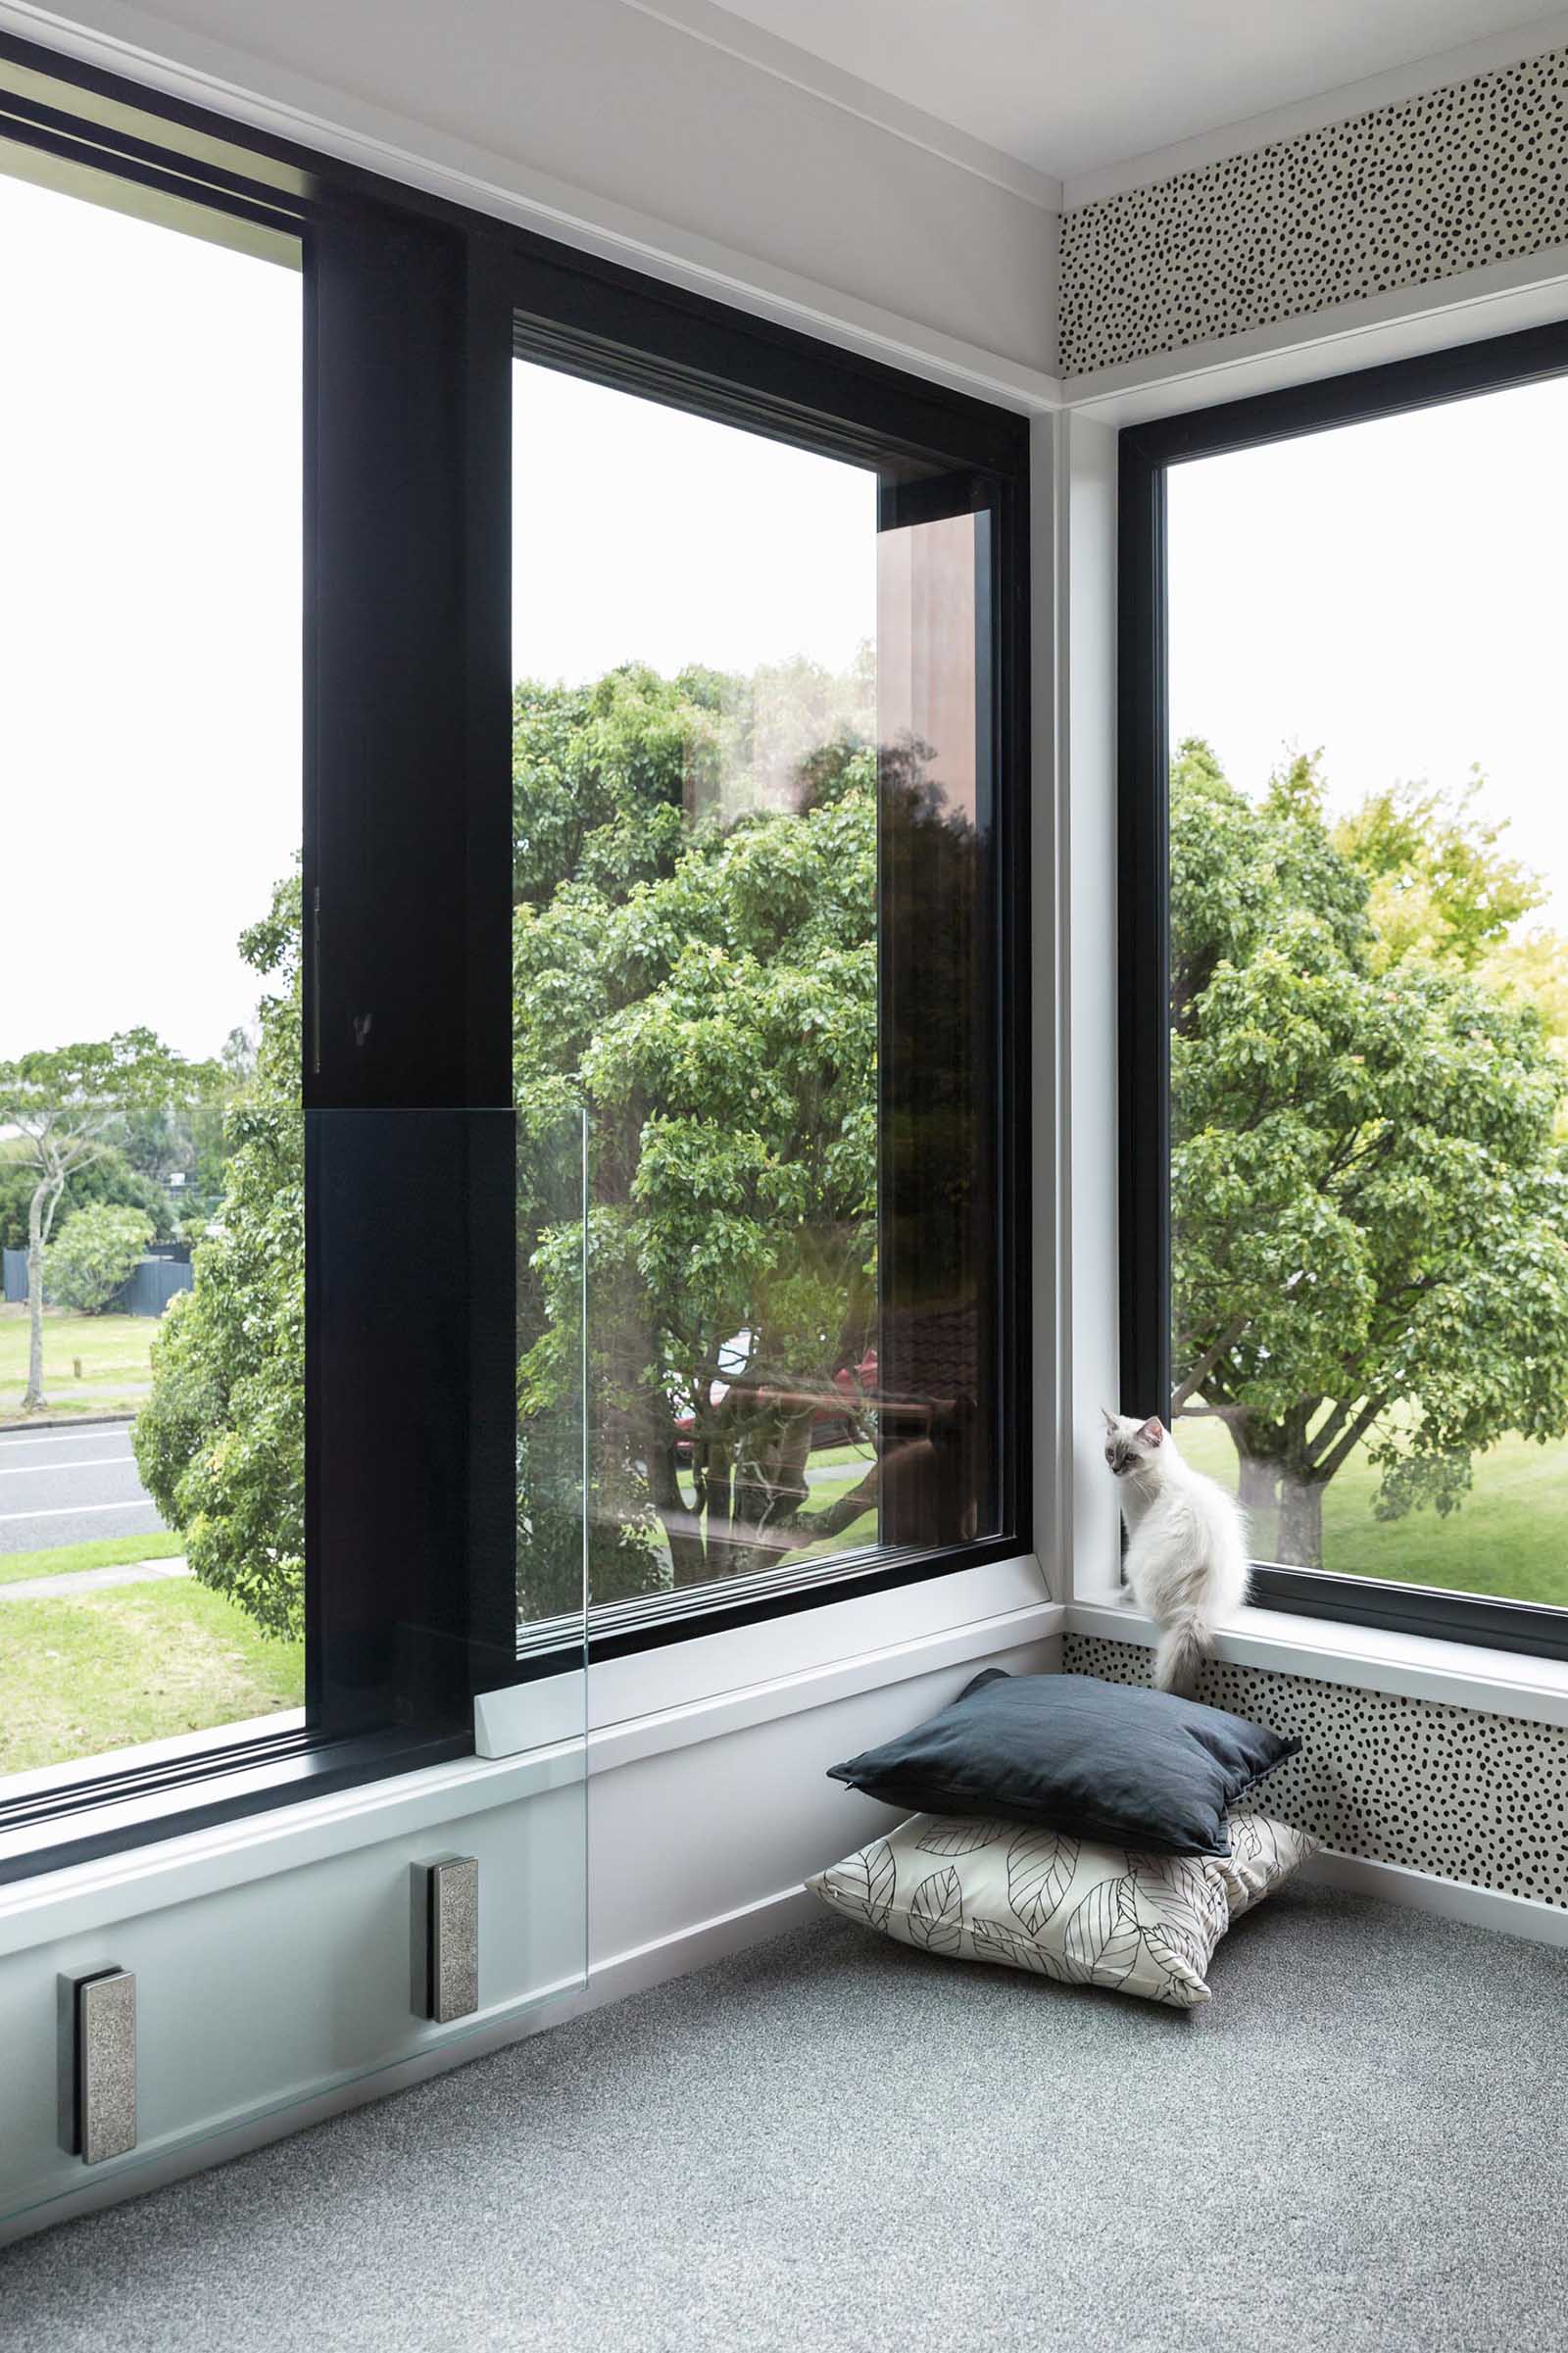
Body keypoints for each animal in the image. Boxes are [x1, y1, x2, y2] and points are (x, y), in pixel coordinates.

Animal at [1097, 1411, 1243, 1693]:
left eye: (1130, 1457)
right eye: (1110, 1453)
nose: (1115, 1469)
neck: (1159, 1475)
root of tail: (1197, 1605)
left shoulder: (1134, 1526)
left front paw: (1126, 1593)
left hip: (1135, 1559)